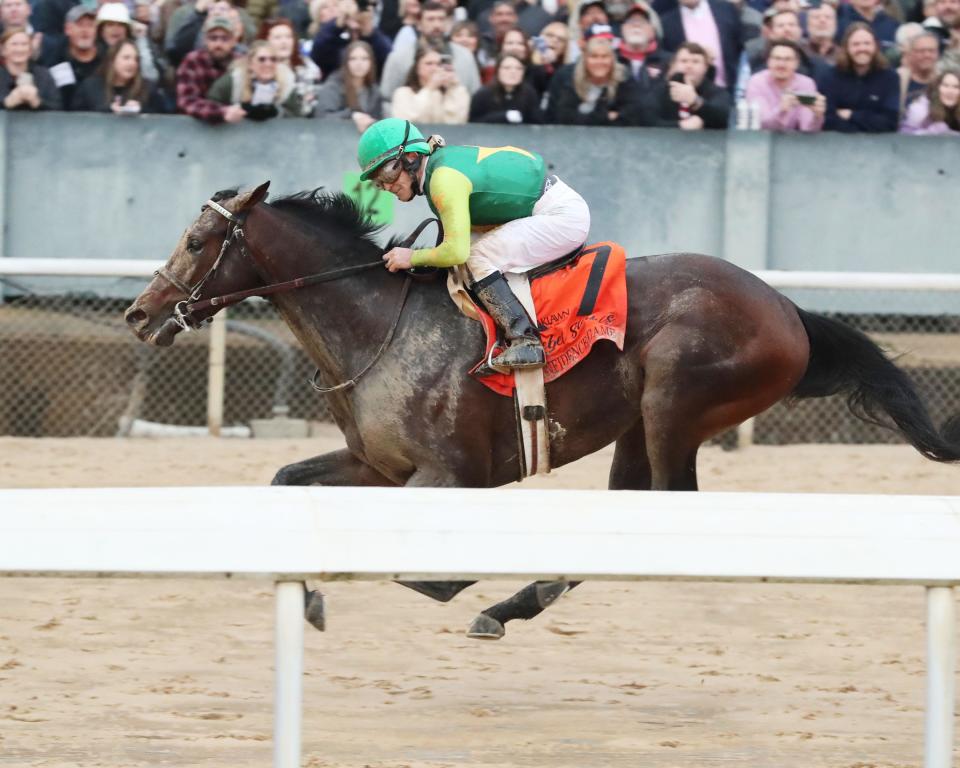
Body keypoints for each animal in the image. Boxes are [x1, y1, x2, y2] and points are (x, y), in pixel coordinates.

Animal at [124, 183, 956, 640]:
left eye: (196, 240)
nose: (139, 313)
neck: (376, 322)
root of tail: (786, 308)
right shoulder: (374, 467)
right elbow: (286, 484)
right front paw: (312, 599)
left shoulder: (450, 477)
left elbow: (418, 564)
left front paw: (443, 582)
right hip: (639, 427)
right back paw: (509, 606)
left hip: (674, 401)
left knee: (663, 513)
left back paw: (502, 600)